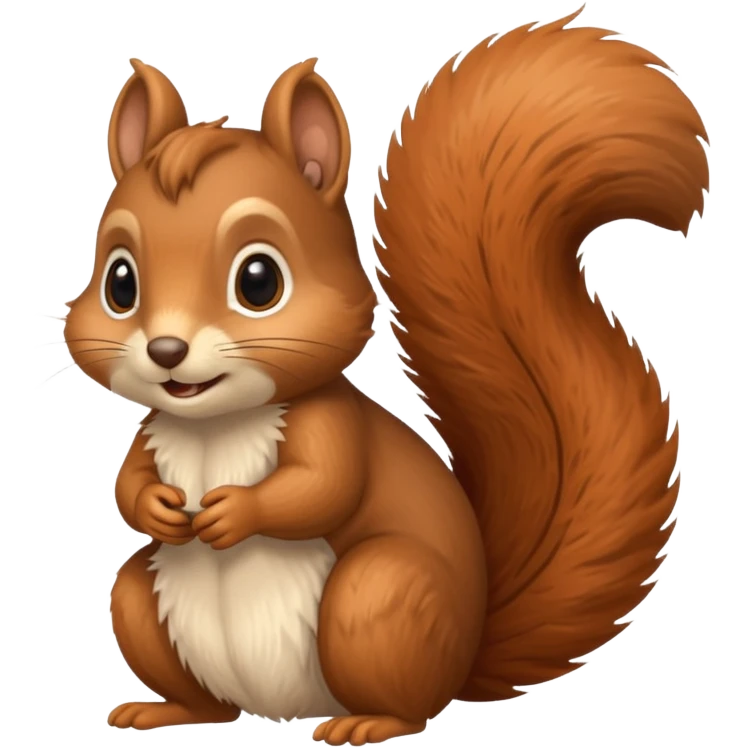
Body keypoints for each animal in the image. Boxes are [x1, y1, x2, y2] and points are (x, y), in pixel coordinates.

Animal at [78, 7, 708, 744]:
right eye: (120, 282)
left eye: (259, 281)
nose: (167, 349)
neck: (217, 423)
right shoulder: (154, 429)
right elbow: (128, 484)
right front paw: (156, 505)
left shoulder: (331, 423)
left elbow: (323, 487)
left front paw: (238, 510)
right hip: (144, 604)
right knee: (197, 686)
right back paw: (166, 709)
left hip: (378, 596)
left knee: (414, 700)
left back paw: (369, 722)